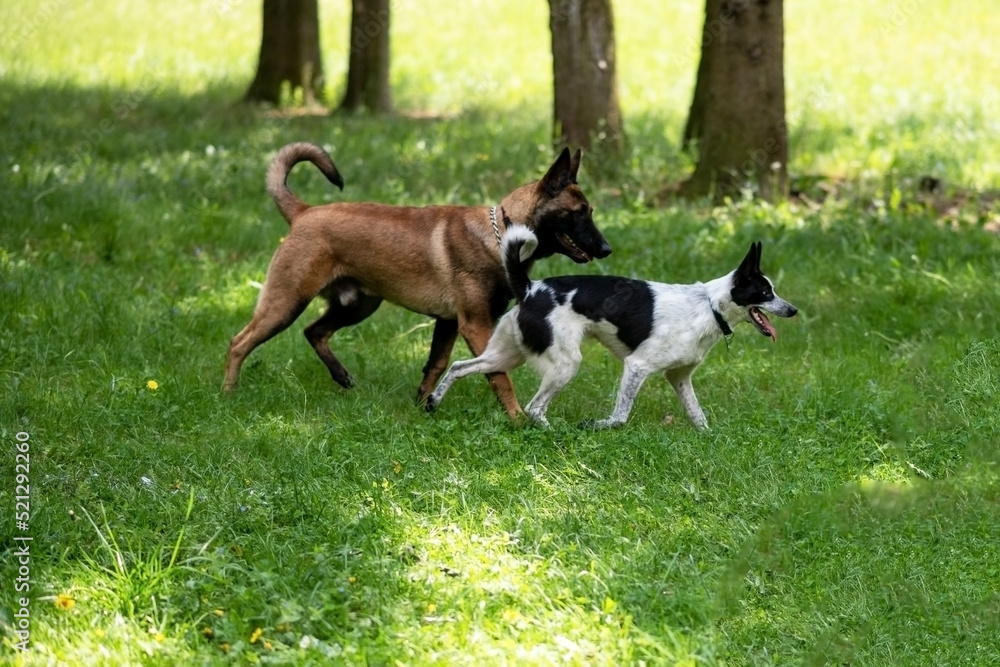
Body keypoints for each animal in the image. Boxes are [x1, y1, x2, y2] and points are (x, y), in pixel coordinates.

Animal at [223, 143, 608, 414]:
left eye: (590, 212)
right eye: (579, 213)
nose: (607, 249)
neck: (499, 234)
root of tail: (304, 212)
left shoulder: (448, 323)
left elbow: (435, 366)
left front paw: (423, 405)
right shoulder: (475, 325)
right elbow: (498, 375)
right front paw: (515, 418)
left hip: (359, 305)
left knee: (313, 331)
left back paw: (341, 375)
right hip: (286, 303)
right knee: (239, 342)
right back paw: (228, 393)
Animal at [424, 227, 796, 430]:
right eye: (765, 293)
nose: (793, 310)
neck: (708, 306)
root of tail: (530, 288)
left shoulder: (679, 377)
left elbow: (699, 417)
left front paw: (709, 437)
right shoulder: (637, 367)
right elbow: (620, 416)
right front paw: (596, 426)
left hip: (506, 354)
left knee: (460, 366)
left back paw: (433, 402)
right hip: (565, 363)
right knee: (534, 407)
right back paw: (555, 431)